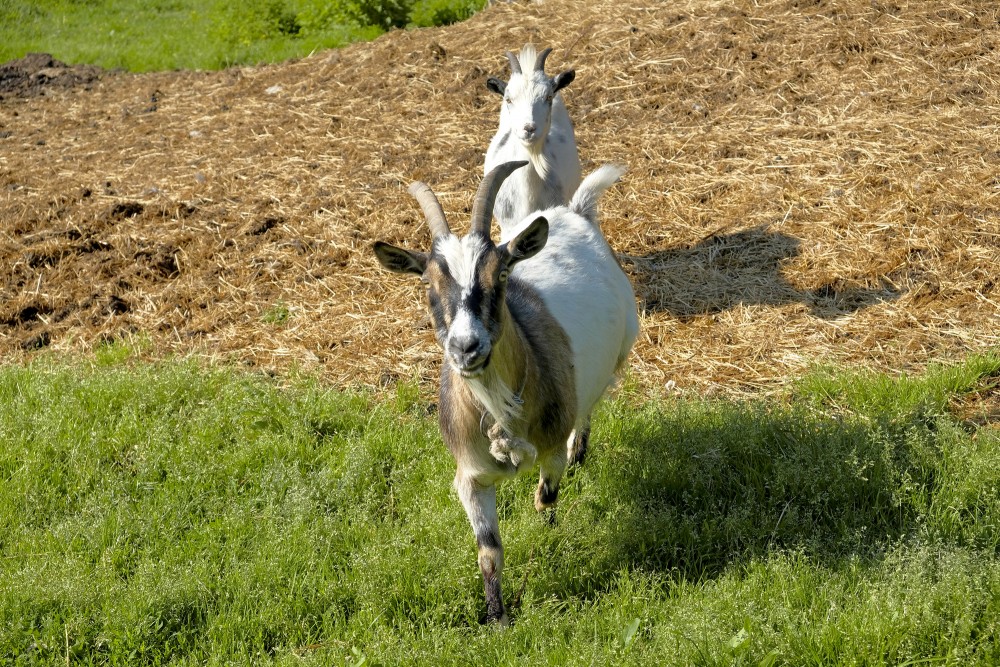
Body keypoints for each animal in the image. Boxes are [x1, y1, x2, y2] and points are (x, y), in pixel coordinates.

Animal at [373, 160, 639, 625]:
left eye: (499, 275)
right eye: (428, 286)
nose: (466, 347)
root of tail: (575, 212)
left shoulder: (548, 450)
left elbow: (545, 497)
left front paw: (547, 530)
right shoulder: (470, 476)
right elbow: (489, 550)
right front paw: (497, 617)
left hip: (621, 346)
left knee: (591, 404)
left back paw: (580, 450)